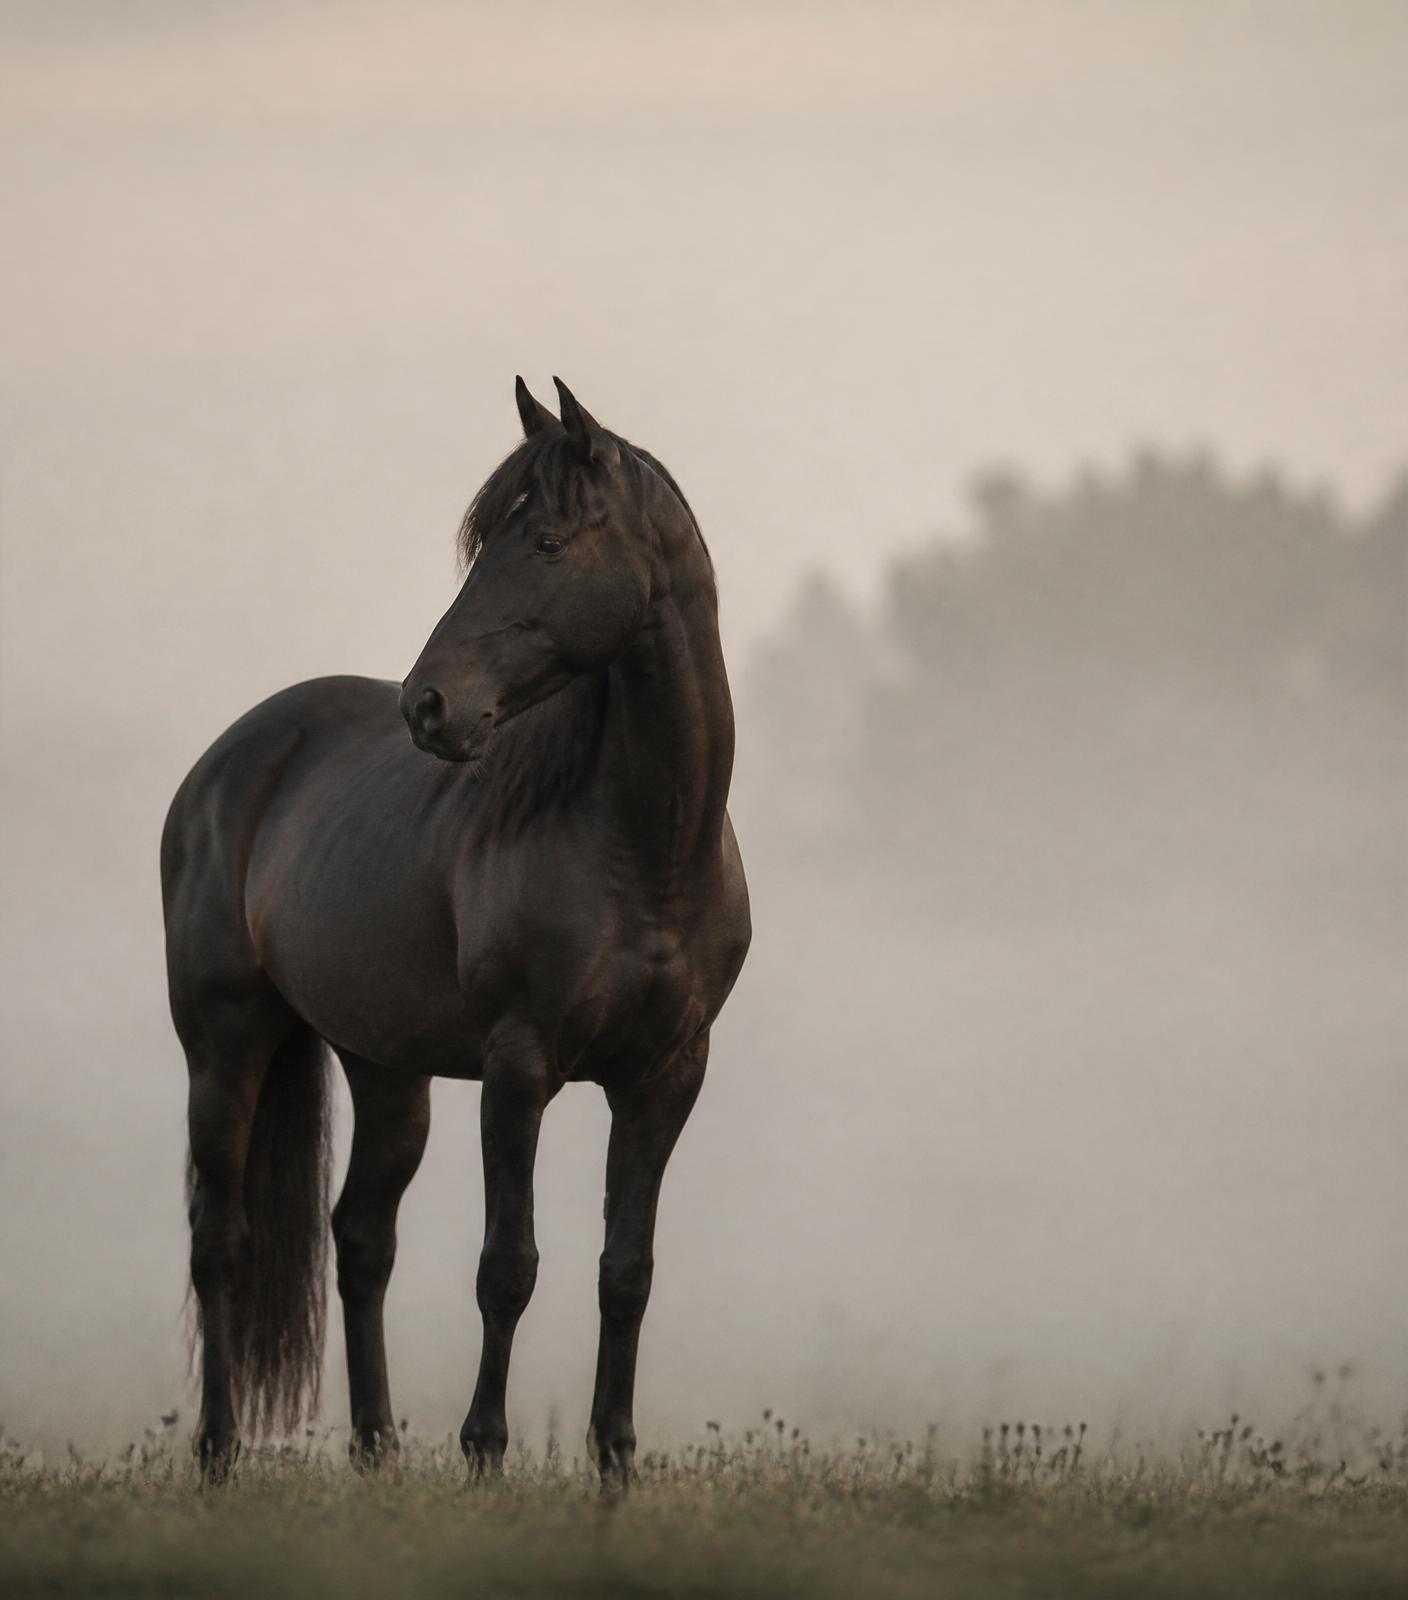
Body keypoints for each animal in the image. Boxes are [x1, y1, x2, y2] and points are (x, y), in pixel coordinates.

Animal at [161, 377, 751, 1483]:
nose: (429, 707)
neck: (644, 850)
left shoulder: (666, 1077)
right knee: (220, 1242)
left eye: (550, 541)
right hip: (225, 1047)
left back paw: (377, 1453)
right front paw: (485, 1455)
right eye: (486, 544)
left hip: (387, 1071)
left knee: (360, 1239)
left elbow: (626, 1271)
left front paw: (614, 1465)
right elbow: (507, 1267)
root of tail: (225, 764)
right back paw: (218, 1455)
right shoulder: (520, 1069)